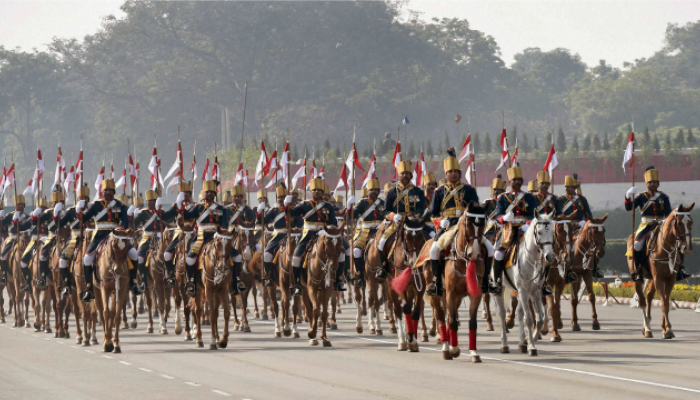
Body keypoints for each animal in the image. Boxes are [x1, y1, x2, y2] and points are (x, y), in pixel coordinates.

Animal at [494, 212, 556, 356]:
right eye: (539, 232)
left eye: (552, 232)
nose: (549, 256)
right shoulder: (523, 290)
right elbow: (529, 319)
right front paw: (532, 347)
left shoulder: (536, 291)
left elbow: (539, 320)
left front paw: (530, 339)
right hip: (502, 289)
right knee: (502, 313)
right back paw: (504, 345)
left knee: (519, 312)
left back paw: (521, 344)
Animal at [628, 205, 692, 340]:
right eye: (679, 223)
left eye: (691, 222)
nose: (687, 248)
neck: (666, 250)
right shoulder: (659, 279)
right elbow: (663, 303)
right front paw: (667, 330)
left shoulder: (670, 279)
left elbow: (666, 303)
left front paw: (666, 329)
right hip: (638, 278)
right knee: (642, 301)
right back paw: (647, 329)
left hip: (652, 278)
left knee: (648, 297)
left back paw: (646, 326)